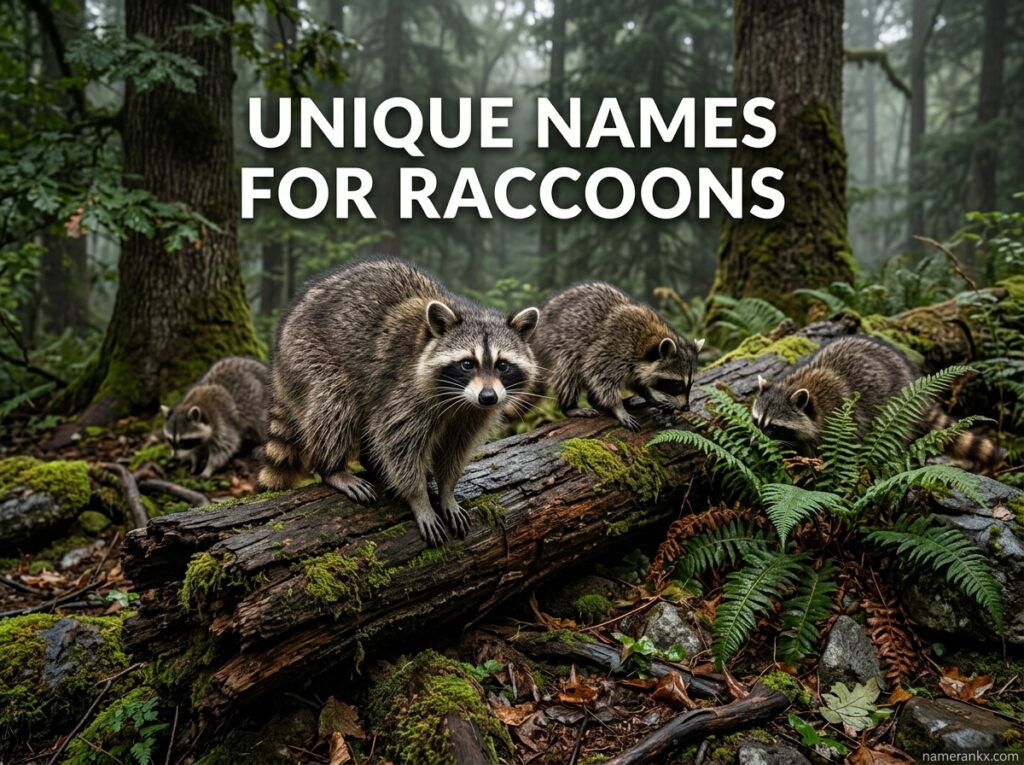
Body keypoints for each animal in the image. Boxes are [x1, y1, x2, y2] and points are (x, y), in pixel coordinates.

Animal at [258, 258, 540, 546]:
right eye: (467, 364)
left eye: (502, 365)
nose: (488, 397)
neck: (460, 400)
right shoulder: (405, 392)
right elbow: (398, 443)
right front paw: (419, 499)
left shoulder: (472, 414)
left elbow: (455, 448)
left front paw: (447, 490)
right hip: (309, 356)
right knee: (333, 405)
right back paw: (331, 468)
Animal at [529, 282, 703, 431]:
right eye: (677, 384)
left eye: (691, 383)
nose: (686, 408)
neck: (648, 341)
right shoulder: (613, 347)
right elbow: (598, 374)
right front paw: (617, 406)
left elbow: (637, 381)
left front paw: (649, 395)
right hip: (556, 347)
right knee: (569, 371)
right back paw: (570, 407)